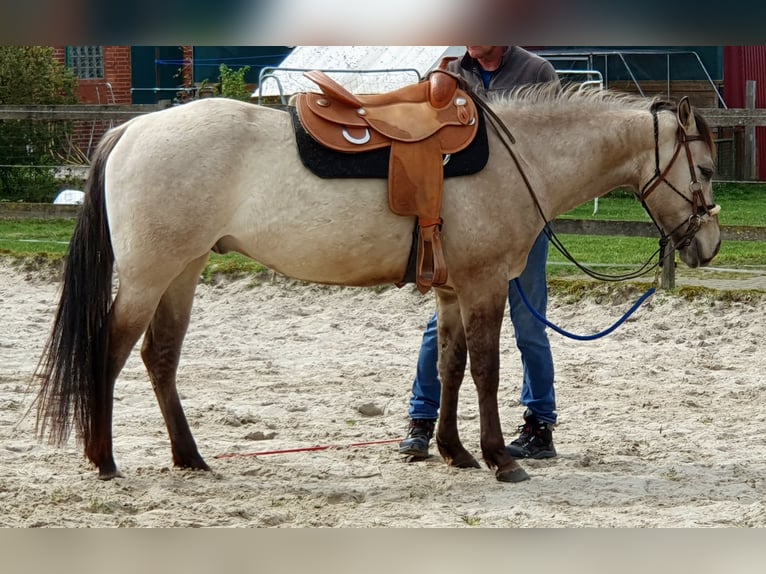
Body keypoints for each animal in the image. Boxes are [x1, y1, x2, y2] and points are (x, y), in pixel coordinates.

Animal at [33, 84, 721, 483]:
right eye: (708, 169)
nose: (708, 245)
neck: (519, 158)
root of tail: (133, 129)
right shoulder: (483, 286)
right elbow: (487, 369)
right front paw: (499, 458)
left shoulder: (451, 292)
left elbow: (448, 366)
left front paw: (453, 450)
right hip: (150, 275)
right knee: (110, 350)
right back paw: (104, 459)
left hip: (183, 270)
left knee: (160, 357)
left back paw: (190, 458)